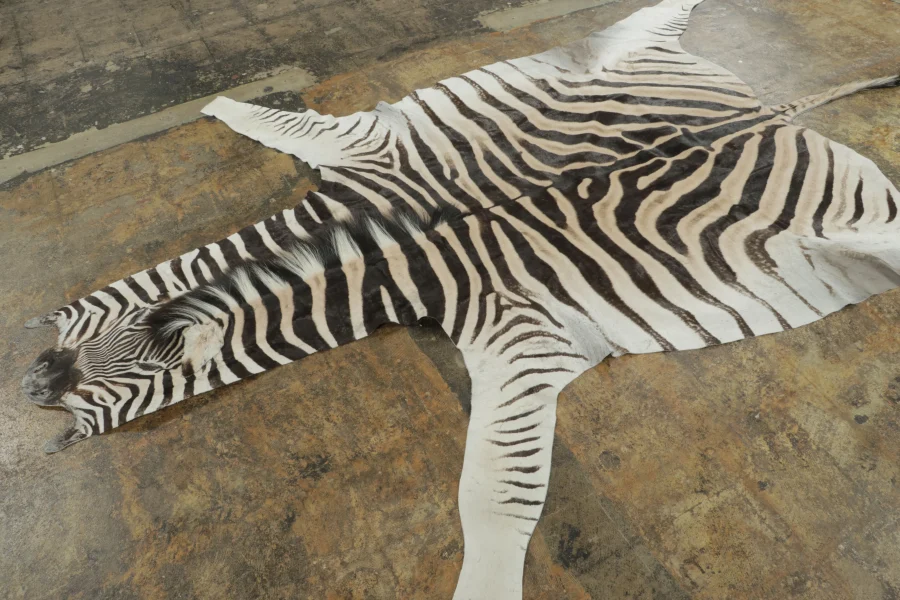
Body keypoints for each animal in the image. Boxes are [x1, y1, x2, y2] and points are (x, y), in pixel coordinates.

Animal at [20, 0, 899, 597]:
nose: (29, 386)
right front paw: (220, 103)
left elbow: (492, 498)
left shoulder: (521, 338)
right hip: (624, 51)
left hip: (870, 230)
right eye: (68, 362)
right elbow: (278, 125)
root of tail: (766, 109)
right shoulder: (365, 156)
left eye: (141, 376)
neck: (402, 241)